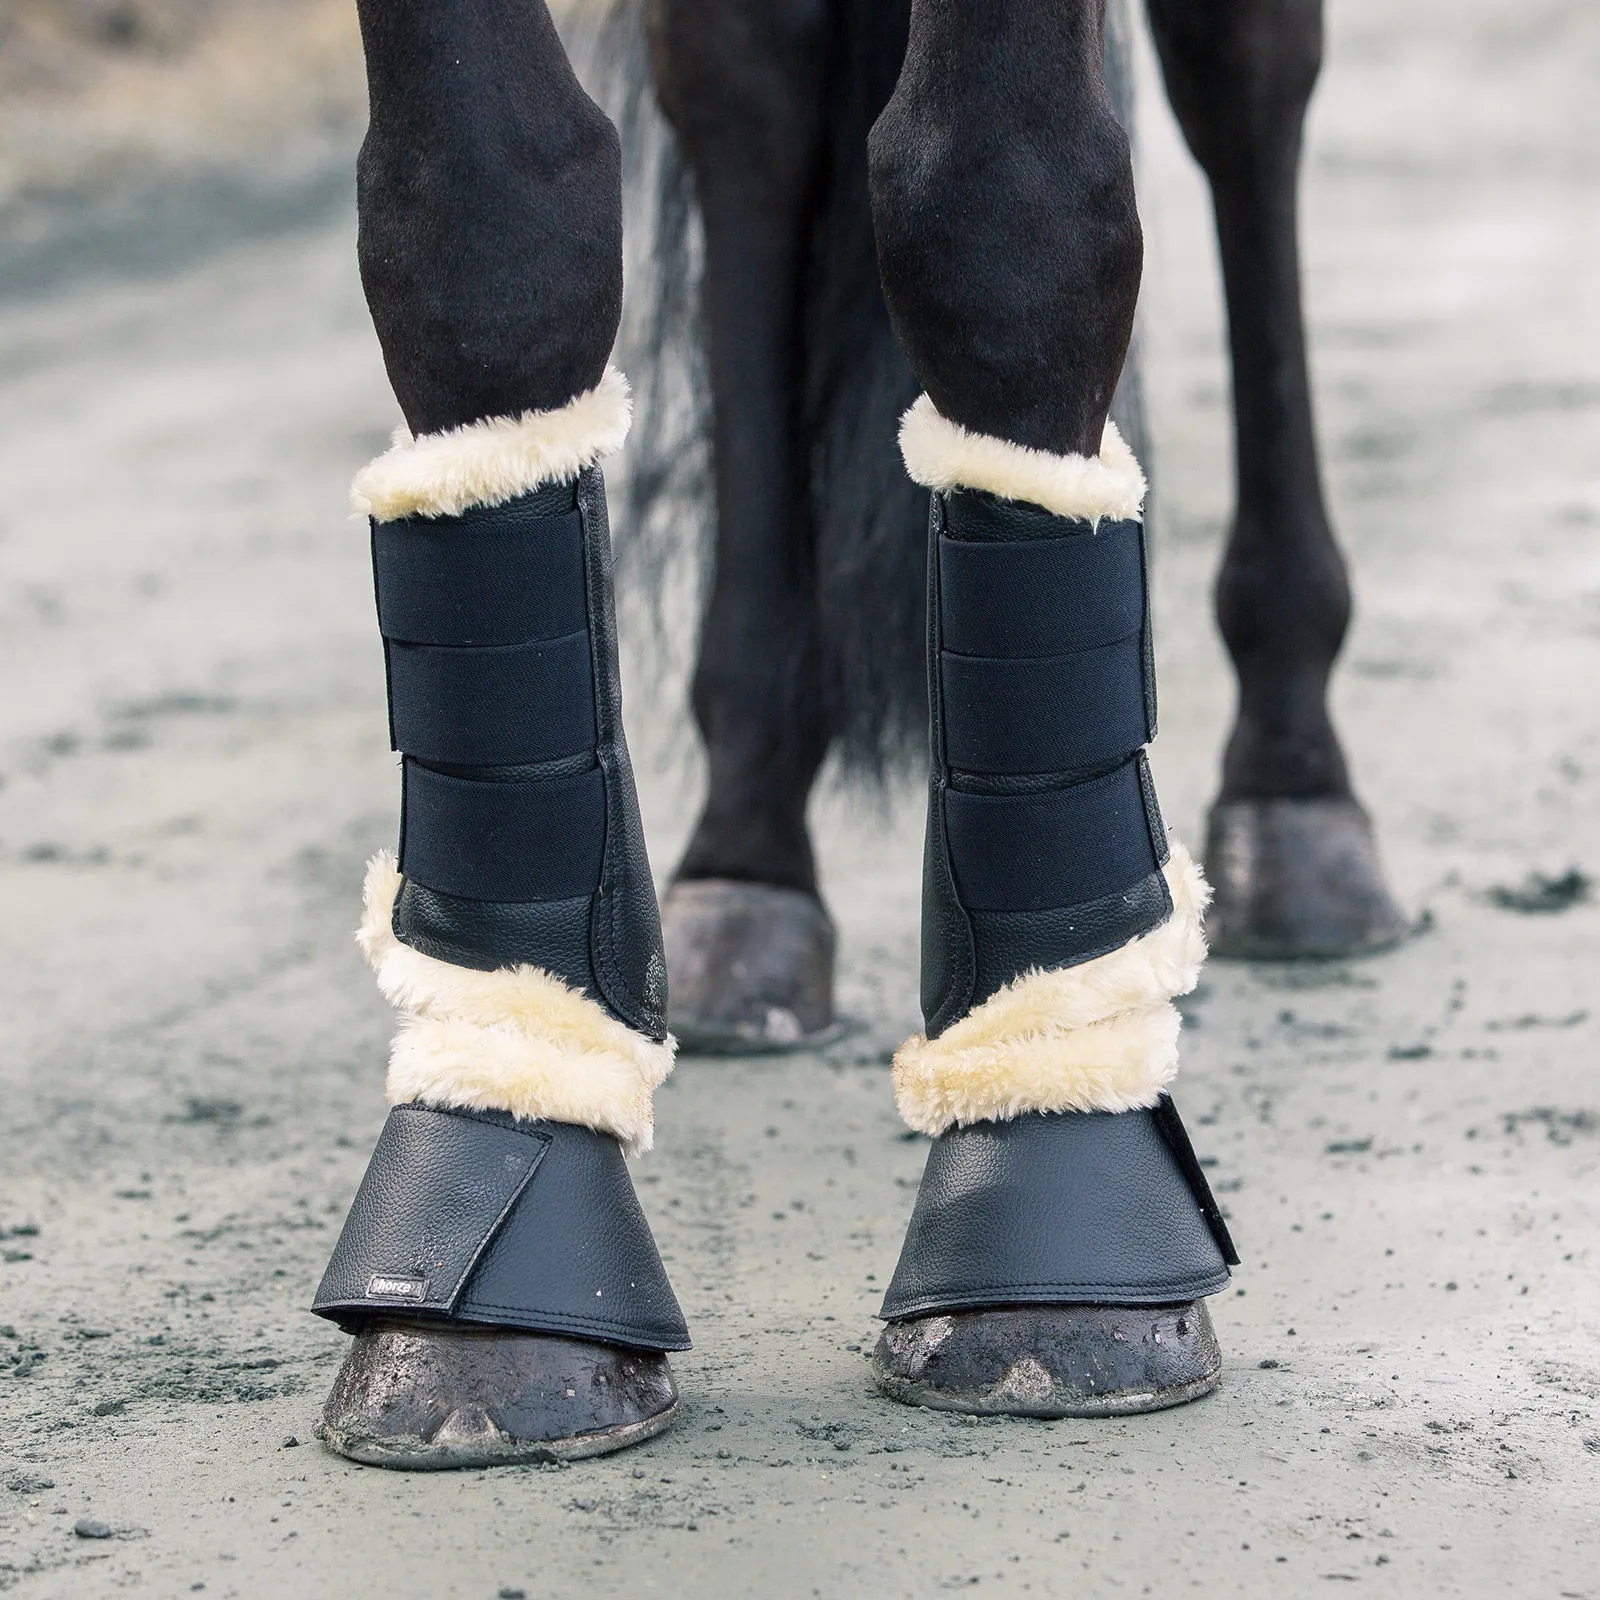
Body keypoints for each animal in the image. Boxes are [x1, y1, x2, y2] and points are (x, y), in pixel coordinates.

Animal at [302, 0, 1401, 1465]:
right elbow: (478, 221)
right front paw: (489, 1314)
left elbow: (1000, 209)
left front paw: (1054, 1242)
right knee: (742, 93)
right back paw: (746, 845)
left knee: (1245, 77)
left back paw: (1295, 785)